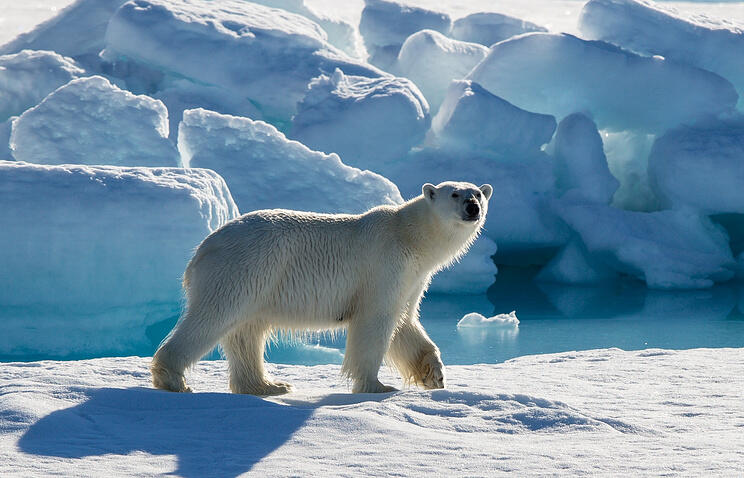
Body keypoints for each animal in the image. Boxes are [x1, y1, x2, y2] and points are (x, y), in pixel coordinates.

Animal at [149, 181, 492, 394]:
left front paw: (435, 374)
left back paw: (269, 386)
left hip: (257, 282)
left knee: (247, 332)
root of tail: (202, 248)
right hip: (242, 268)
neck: (409, 235)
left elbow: (405, 323)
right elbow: (376, 322)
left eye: (478, 193)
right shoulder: (384, 265)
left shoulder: (413, 277)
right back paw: (173, 379)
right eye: (454, 194)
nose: (473, 207)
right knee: (213, 317)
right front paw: (376, 386)